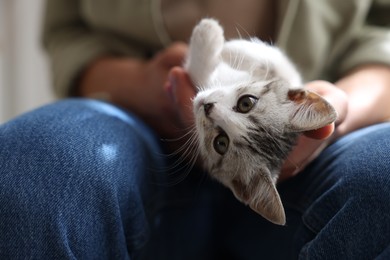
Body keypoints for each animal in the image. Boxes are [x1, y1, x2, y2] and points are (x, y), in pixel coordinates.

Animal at [184, 18, 336, 225]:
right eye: (246, 103)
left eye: (221, 143)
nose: (207, 106)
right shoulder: (290, 77)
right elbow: (274, 65)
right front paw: (230, 47)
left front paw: (209, 33)